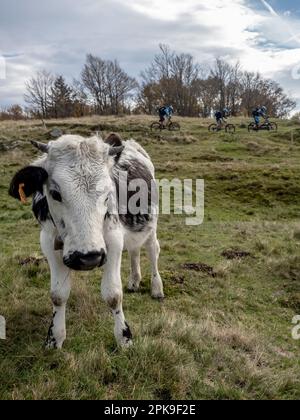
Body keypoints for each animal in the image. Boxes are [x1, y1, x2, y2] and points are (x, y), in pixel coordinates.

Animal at [8, 134, 164, 348]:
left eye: (107, 195)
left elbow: (113, 294)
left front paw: (124, 338)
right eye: (55, 193)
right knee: (134, 250)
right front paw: (54, 338)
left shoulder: (113, 240)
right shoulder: (48, 242)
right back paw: (134, 282)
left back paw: (157, 289)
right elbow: (58, 295)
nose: (88, 258)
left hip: (151, 224)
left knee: (152, 250)